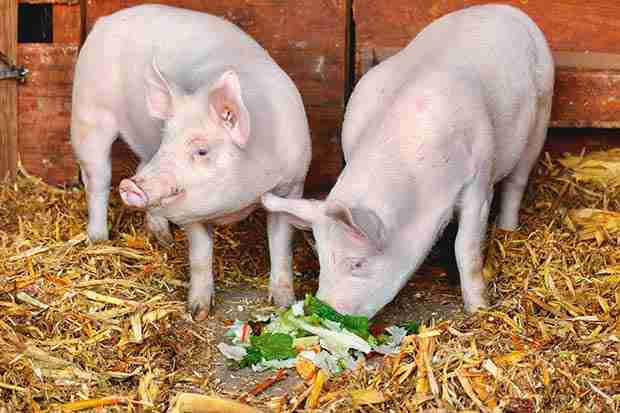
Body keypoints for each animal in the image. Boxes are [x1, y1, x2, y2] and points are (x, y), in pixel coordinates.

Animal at [71, 4, 312, 318]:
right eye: (166, 138)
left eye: (201, 151)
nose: (131, 187)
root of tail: (105, 20)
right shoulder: (192, 212)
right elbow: (200, 255)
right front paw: (198, 312)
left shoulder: (292, 185)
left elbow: (281, 247)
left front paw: (283, 305)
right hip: (88, 113)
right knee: (97, 181)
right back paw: (99, 240)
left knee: (138, 167)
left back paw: (163, 238)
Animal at [260, 4, 556, 316]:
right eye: (321, 259)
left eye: (357, 263)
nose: (326, 309)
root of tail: (505, 9)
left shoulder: (479, 180)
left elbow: (466, 248)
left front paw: (478, 309)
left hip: (542, 109)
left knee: (517, 182)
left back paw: (508, 229)